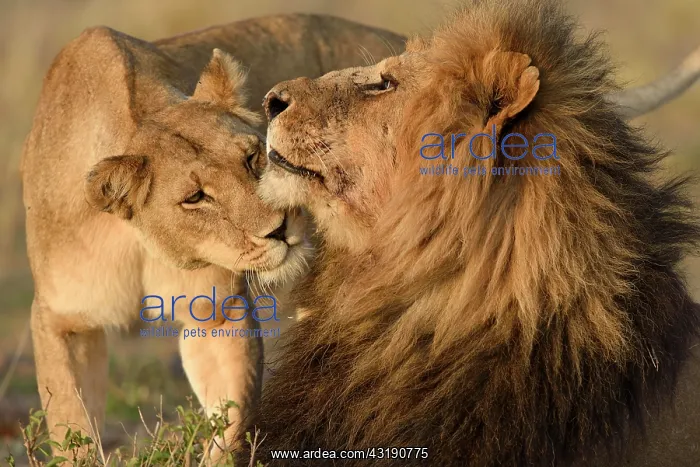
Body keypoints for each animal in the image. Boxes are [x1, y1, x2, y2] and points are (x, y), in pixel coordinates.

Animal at [20, 14, 405, 460]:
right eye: (196, 198)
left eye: (253, 157)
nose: (279, 228)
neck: (139, 239)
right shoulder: (61, 319)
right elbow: (72, 427)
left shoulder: (219, 309)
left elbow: (231, 422)